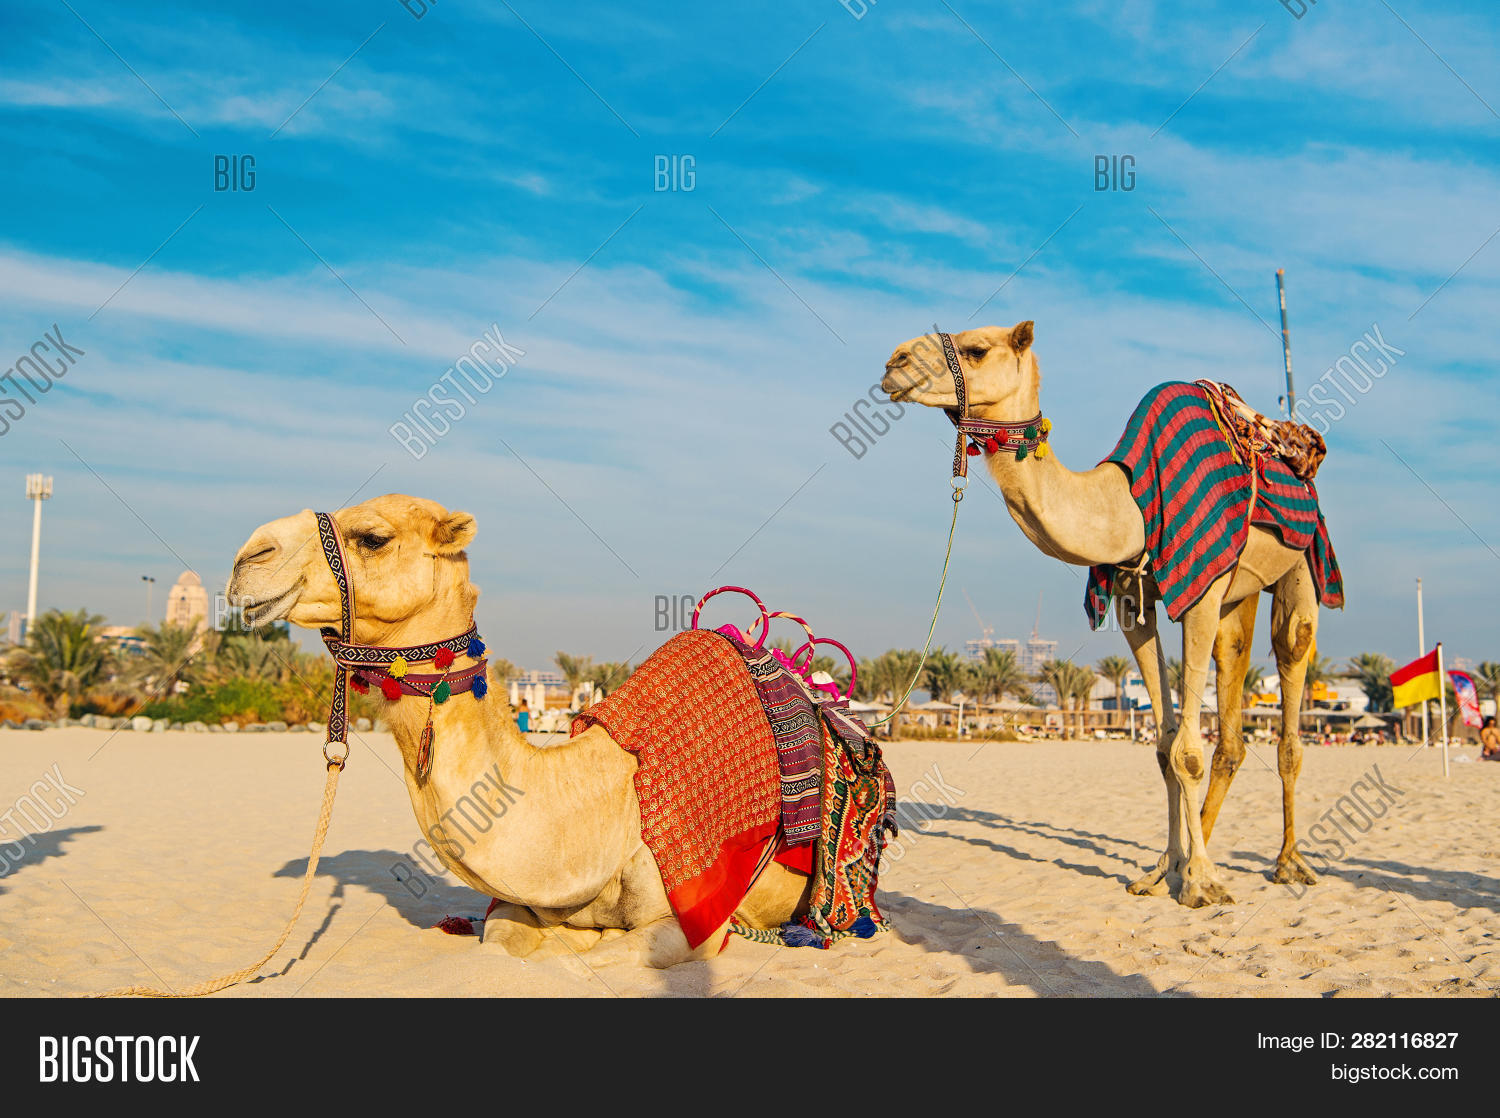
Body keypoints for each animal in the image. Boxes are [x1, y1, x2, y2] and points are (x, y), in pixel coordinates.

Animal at [227, 495, 811, 967]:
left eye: (372, 538)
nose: (247, 558)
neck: (601, 803)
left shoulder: (695, 924)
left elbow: (599, 954)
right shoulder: (518, 903)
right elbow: (505, 943)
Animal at [882, 323, 1324, 907]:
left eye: (976, 349)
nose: (894, 362)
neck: (1127, 507)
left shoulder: (1199, 590)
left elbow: (1186, 750)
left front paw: (1202, 883)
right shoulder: (1133, 598)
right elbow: (1164, 747)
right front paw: (1167, 870)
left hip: (1302, 564)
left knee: (1293, 658)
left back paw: (1289, 862)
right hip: (1238, 591)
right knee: (1231, 708)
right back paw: (1190, 853)